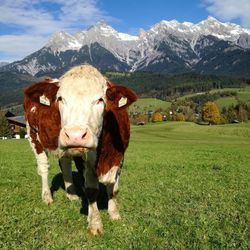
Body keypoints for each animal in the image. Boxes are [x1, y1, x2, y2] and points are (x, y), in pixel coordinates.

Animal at [23, 64, 137, 234]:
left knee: (65, 164)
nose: (74, 135)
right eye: (60, 99)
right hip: (34, 137)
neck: (107, 156)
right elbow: (90, 189)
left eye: (100, 99)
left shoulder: (120, 156)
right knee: (43, 168)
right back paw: (47, 197)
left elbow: (114, 188)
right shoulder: (86, 160)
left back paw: (71, 194)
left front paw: (114, 214)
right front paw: (95, 223)